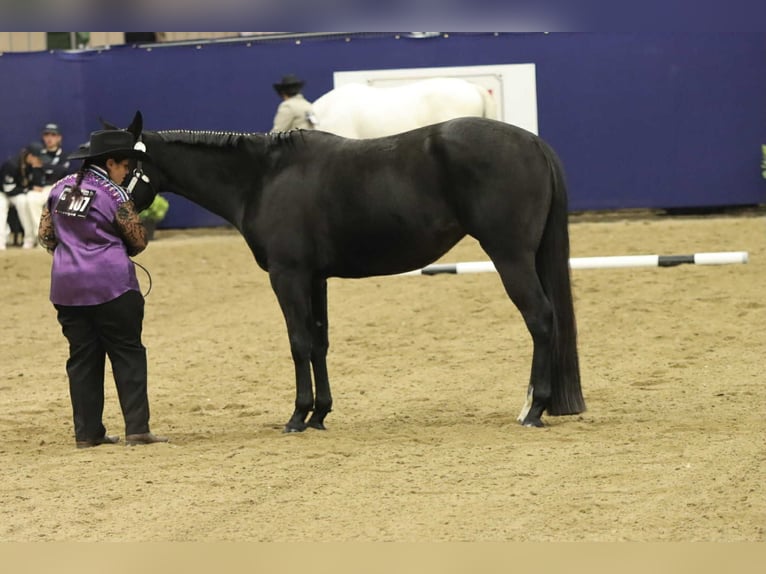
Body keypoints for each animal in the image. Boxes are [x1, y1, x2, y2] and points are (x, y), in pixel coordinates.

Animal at [115, 111, 585, 432]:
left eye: (119, 162)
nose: (105, 202)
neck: (264, 178)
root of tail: (532, 142)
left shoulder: (287, 276)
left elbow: (298, 342)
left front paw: (297, 415)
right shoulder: (315, 278)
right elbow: (319, 342)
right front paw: (320, 414)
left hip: (510, 256)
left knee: (541, 320)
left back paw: (534, 409)